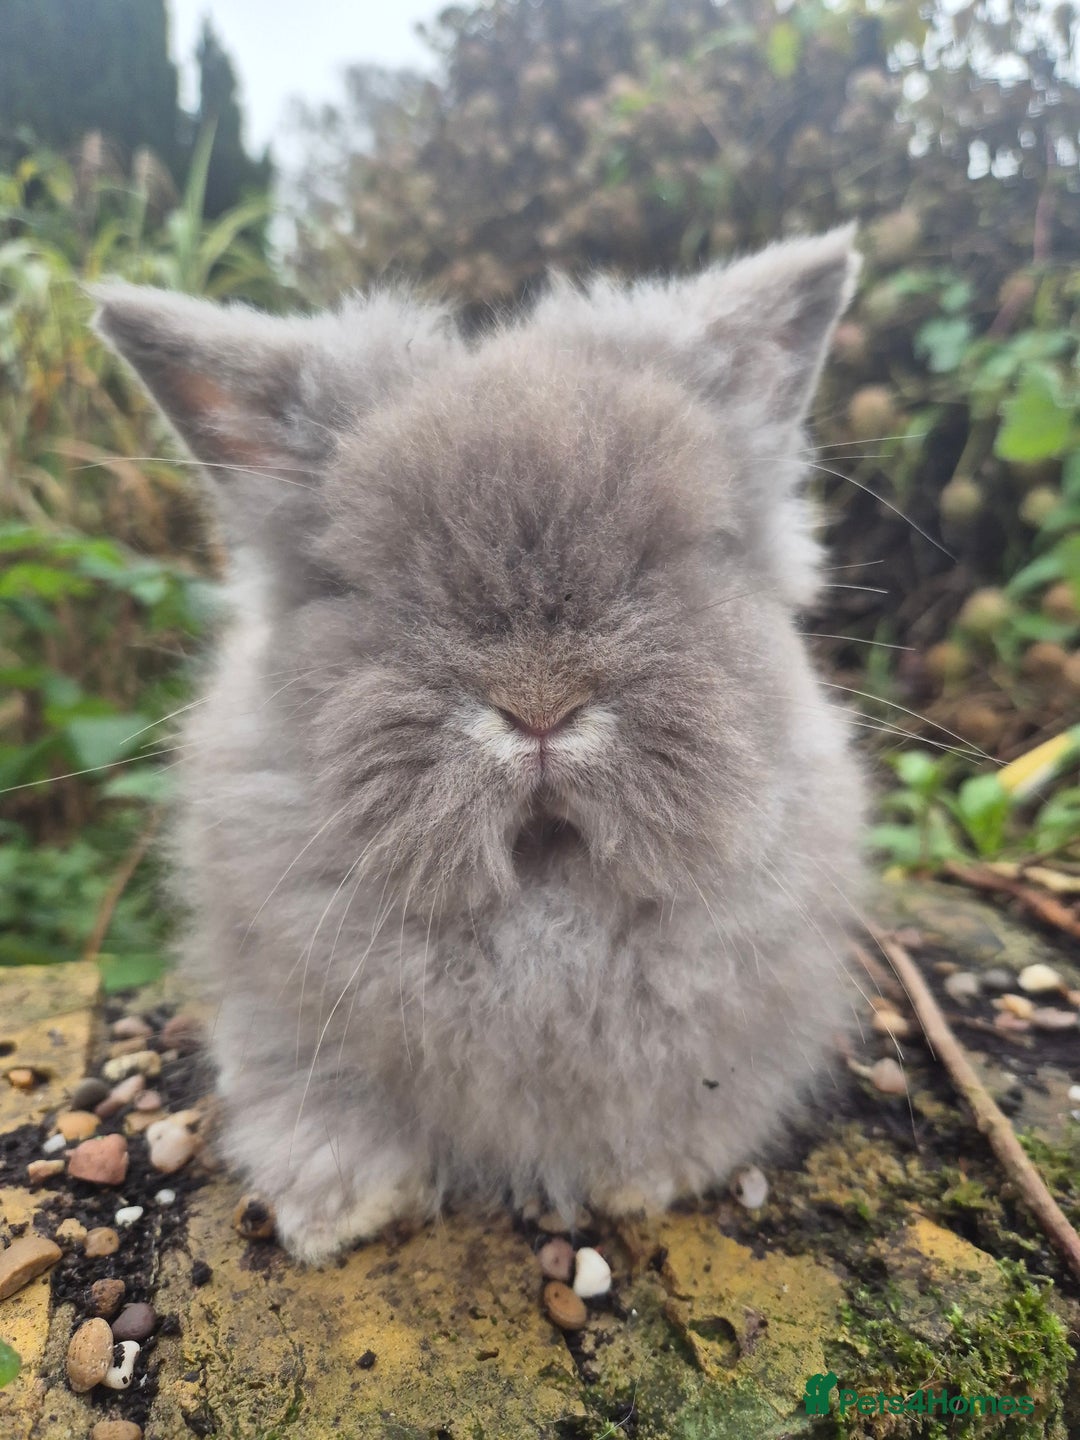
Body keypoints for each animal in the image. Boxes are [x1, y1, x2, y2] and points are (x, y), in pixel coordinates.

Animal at [93, 225, 865, 1262]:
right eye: (371, 582)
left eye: (671, 558)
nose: (539, 706)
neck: (542, 898)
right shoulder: (284, 1014)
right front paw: (333, 1216)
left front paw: (645, 1181)